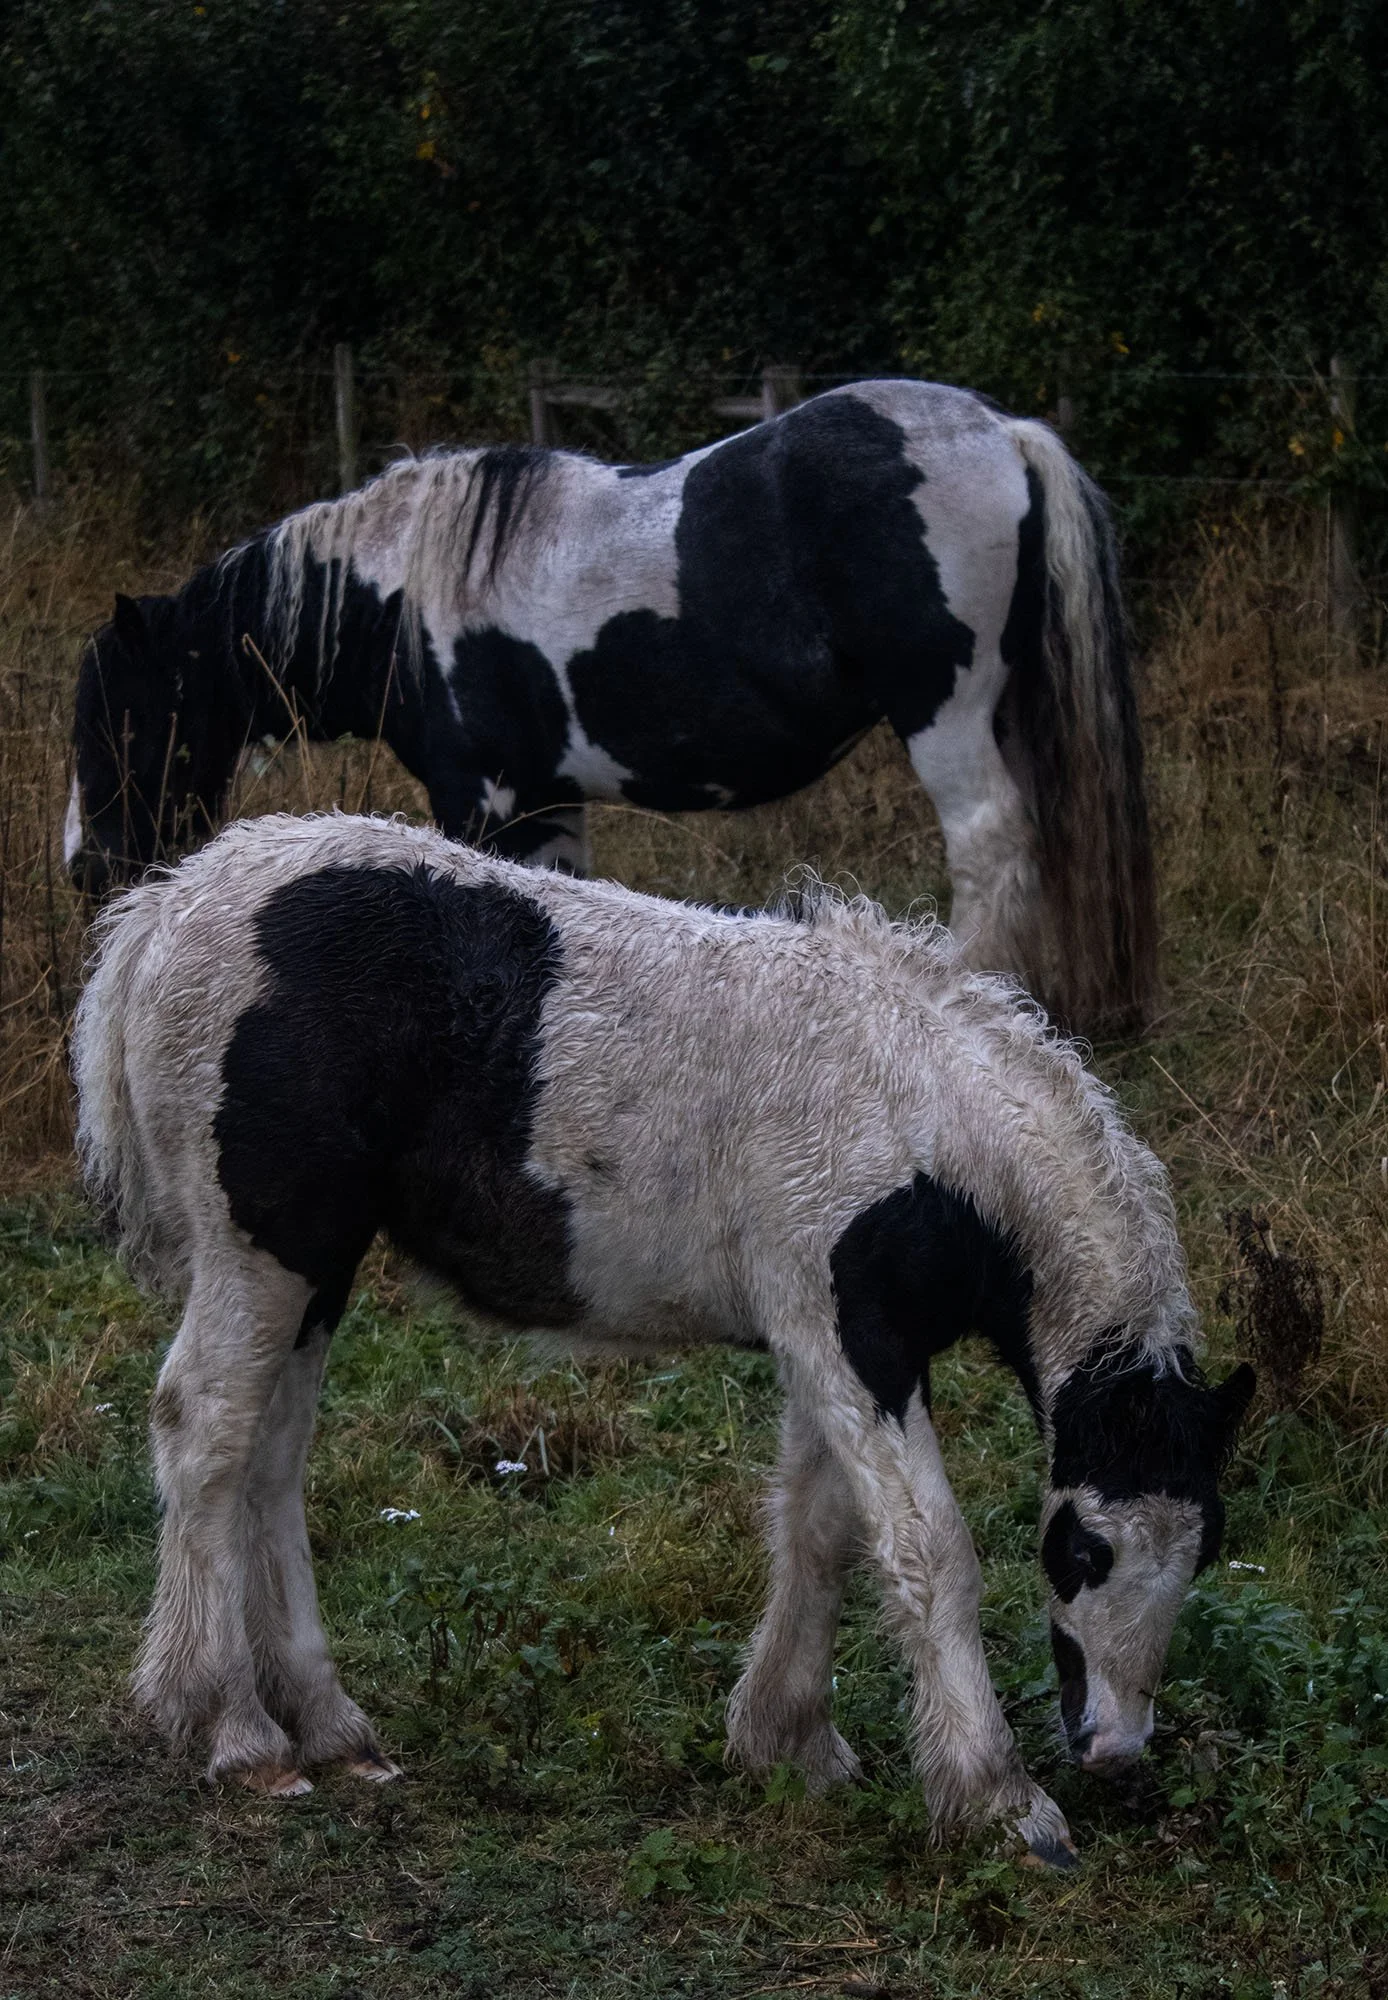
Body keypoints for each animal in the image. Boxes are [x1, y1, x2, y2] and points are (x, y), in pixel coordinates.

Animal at [68, 380, 1156, 1035]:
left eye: (115, 720)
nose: (89, 872)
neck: (401, 598)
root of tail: (1000, 433)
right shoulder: (545, 803)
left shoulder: (483, 798)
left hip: (948, 717)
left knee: (990, 845)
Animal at [72, 810, 1251, 1861]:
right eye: (1085, 1547)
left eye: (1202, 1548)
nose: (1113, 1747)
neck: (919, 1124)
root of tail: (163, 911)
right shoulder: (850, 1337)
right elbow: (929, 1550)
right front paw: (998, 1797)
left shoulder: (829, 1339)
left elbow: (820, 1528)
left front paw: (786, 1738)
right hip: (265, 1243)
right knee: (205, 1430)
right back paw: (233, 1728)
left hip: (318, 1261)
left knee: (270, 1457)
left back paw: (330, 1725)